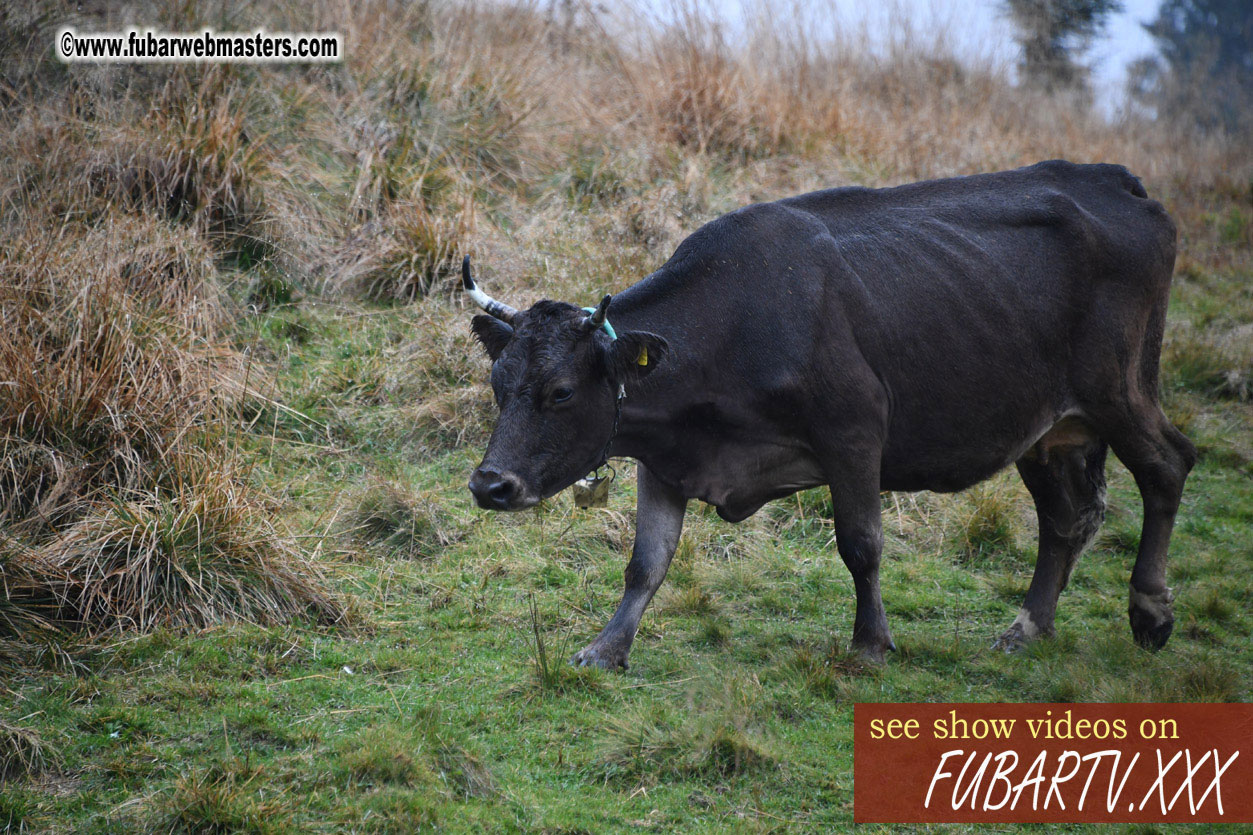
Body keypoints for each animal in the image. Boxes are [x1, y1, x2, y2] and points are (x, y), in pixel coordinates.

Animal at [461, 160, 1192, 672]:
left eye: (560, 392)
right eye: (498, 383)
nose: (489, 484)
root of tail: (1110, 178)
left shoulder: (855, 431)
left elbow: (860, 543)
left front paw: (870, 642)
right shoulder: (664, 458)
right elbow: (647, 561)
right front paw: (605, 648)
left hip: (1118, 387)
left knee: (1167, 464)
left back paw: (1149, 611)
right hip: (1045, 428)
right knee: (1066, 518)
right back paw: (1027, 626)